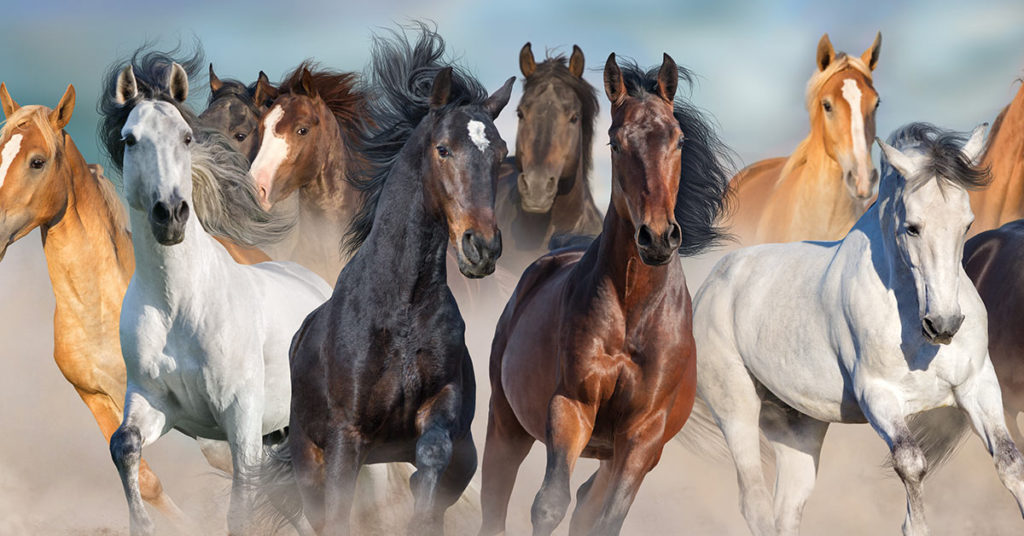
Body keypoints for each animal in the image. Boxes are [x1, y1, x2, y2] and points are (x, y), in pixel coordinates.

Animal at [99, 56, 342, 535]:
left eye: (186, 137)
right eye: (130, 139)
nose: (170, 215)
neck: (180, 305)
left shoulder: (241, 418)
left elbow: (242, 507)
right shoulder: (155, 404)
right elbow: (124, 445)